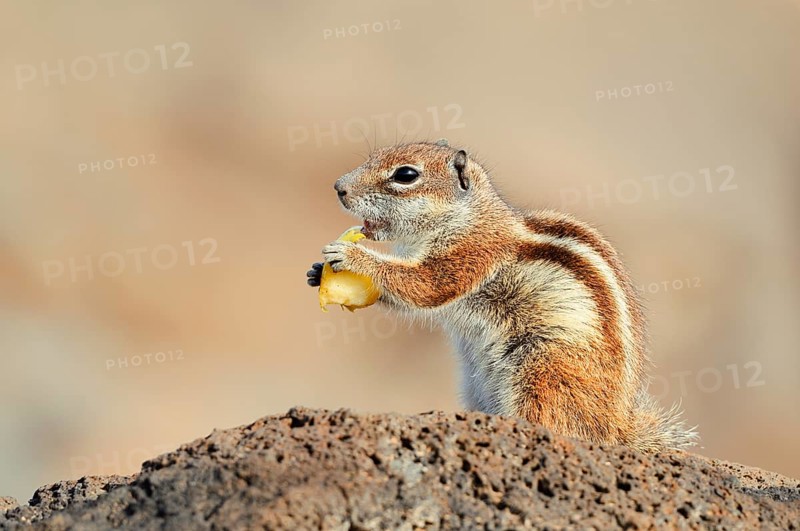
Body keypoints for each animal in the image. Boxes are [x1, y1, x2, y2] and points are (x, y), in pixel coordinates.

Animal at [306, 139, 698, 452]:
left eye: (405, 175)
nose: (339, 188)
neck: (466, 217)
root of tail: (615, 427)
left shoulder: (471, 254)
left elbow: (425, 285)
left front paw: (352, 256)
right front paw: (315, 272)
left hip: (543, 374)